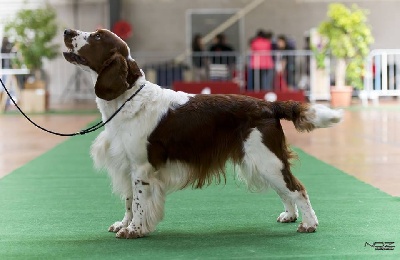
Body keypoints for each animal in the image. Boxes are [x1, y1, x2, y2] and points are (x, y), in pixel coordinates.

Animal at [62, 29, 340, 240]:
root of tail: (269, 105)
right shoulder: (125, 164)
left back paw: (309, 224)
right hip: (261, 161)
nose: (67, 31)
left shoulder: (141, 167)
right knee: (285, 190)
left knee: (297, 188)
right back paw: (290, 216)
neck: (127, 99)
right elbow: (129, 200)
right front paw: (124, 224)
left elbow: (139, 202)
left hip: (267, 158)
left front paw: (135, 230)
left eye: (97, 36)